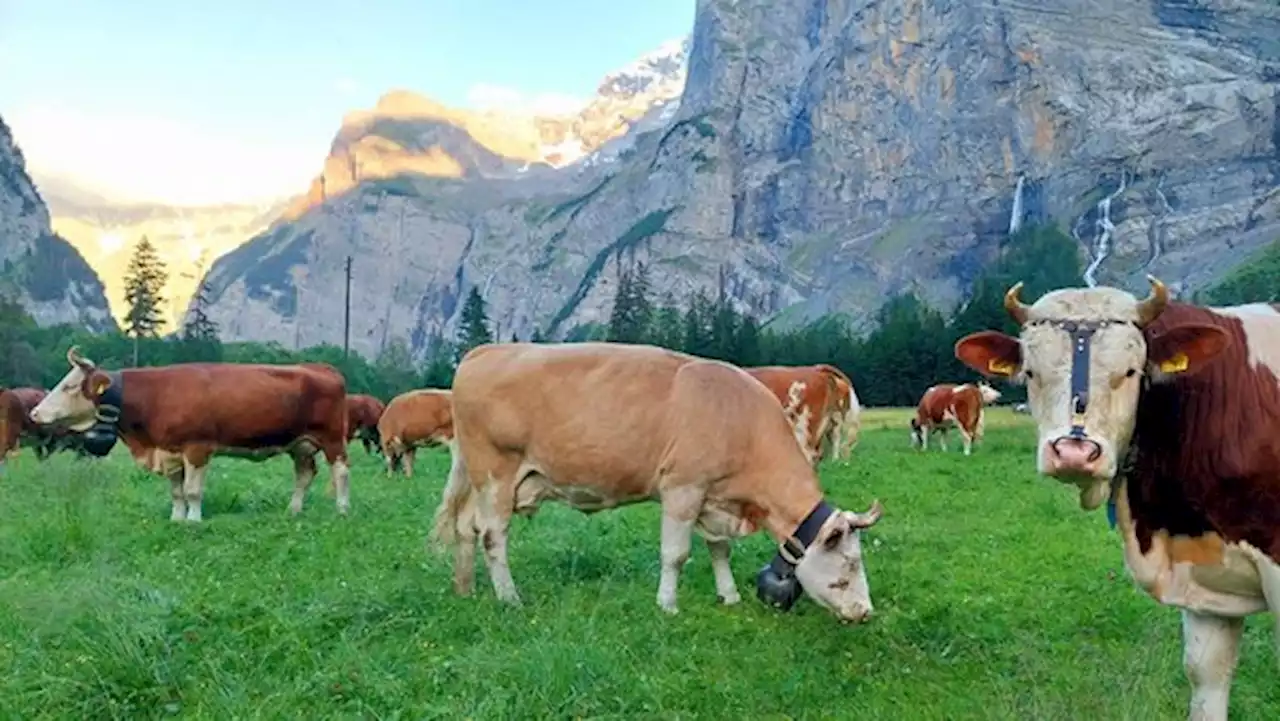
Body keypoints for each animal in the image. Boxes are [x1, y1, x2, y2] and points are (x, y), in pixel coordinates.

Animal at [31, 345, 350, 522]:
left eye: (70, 387)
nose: (34, 413)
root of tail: (321, 368)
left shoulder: (197, 448)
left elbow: (193, 491)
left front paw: (194, 520)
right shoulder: (169, 451)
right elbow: (176, 491)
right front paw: (176, 518)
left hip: (333, 438)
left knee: (341, 472)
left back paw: (342, 509)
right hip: (300, 444)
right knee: (304, 474)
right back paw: (293, 510)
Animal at [430, 340, 880, 622]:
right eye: (850, 562)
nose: (865, 611)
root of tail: (486, 351)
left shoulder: (715, 498)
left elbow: (719, 549)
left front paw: (729, 595)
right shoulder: (683, 489)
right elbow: (675, 554)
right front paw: (667, 604)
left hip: (480, 479)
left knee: (467, 528)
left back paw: (465, 588)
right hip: (496, 474)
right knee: (493, 537)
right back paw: (509, 598)